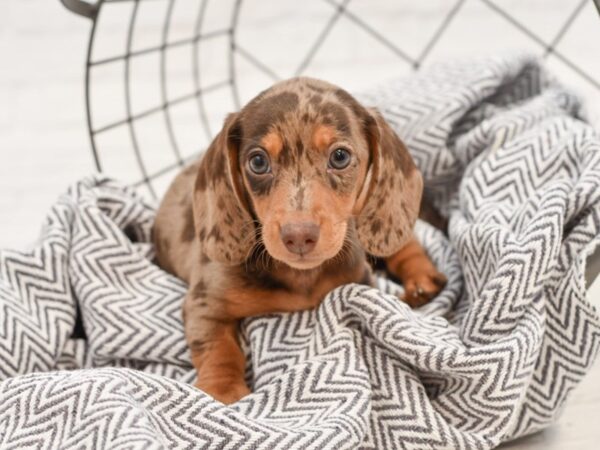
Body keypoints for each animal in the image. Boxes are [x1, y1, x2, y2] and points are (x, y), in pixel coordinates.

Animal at [154, 77, 446, 404]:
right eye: (258, 161)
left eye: (340, 156)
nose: (298, 236)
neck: (300, 276)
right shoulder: (204, 303)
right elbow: (218, 347)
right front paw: (223, 390)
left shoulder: (360, 283)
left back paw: (422, 279)